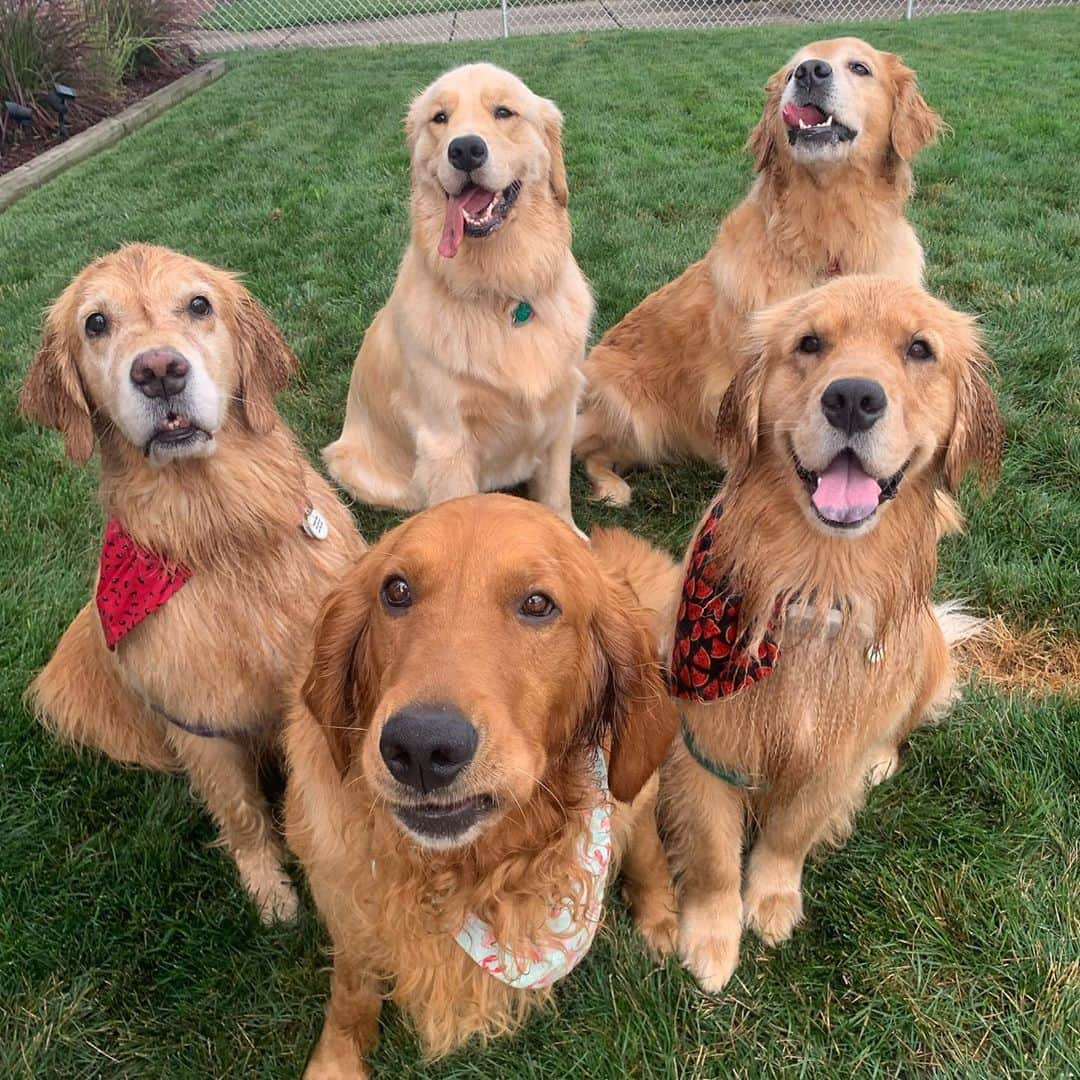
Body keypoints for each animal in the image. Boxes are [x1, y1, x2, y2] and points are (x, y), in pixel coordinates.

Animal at [19, 243, 365, 920]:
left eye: (199, 304)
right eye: (95, 323)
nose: (159, 371)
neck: (222, 532)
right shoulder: (198, 724)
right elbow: (241, 812)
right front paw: (270, 892)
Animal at [282, 494, 678, 1071]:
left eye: (537, 603)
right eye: (396, 591)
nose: (421, 747)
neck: (462, 873)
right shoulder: (347, 904)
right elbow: (353, 987)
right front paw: (336, 1062)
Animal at [321, 63, 591, 527]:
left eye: (504, 111)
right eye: (440, 118)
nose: (465, 150)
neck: (502, 294)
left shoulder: (561, 410)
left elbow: (557, 495)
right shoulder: (445, 440)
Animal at [578, 35, 941, 503]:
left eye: (859, 67)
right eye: (790, 72)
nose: (809, 72)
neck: (829, 231)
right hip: (625, 409)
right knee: (588, 451)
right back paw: (612, 486)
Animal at [656, 280, 1002, 993]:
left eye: (919, 349)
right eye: (809, 342)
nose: (852, 398)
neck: (816, 585)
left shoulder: (830, 752)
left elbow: (791, 832)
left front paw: (771, 899)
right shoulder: (705, 741)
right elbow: (711, 852)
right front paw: (711, 937)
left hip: (924, 655)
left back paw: (883, 758)